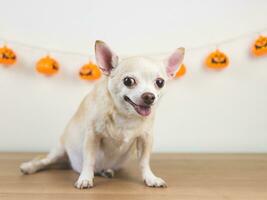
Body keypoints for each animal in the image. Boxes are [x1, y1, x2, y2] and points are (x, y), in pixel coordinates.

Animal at [19, 40, 185, 188]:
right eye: (128, 81)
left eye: (160, 82)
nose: (149, 96)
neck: (126, 116)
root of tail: (68, 163)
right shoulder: (92, 136)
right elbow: (89, 160)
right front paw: (85, 179)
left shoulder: (145, 138)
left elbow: (144, 162)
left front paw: (150, 178)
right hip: (59, 150)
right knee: (44, 161)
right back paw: (29, 167)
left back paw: (106, 171)